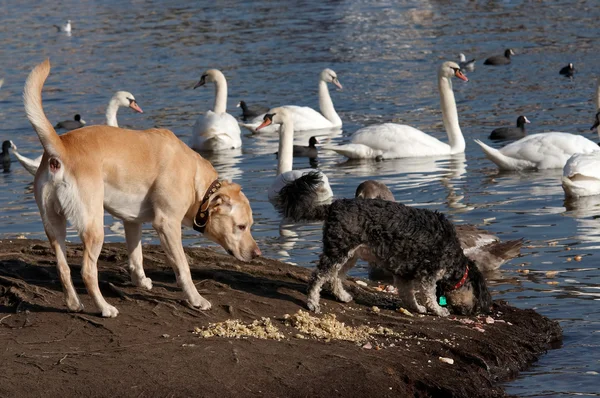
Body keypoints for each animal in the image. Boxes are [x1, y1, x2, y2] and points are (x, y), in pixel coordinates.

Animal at [24, 60, 260, 318]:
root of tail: (61, 148)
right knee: (87, 271)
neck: (196, 181)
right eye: (241, 226)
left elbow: (136, 256)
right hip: (93, 227)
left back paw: (74, 303)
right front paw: (196, 299)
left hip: (54, 226)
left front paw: (141, 280)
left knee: (63, 268)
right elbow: (183, 268)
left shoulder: (132, 221)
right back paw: (105, 308)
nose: (257, 254)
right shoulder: (167, 224)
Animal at [276, 173, 492, 316]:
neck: (453, 257)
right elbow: (429, 294)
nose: (476, 312)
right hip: (338, 251)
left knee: (335, 276)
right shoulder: (429, 272)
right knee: (318, 277)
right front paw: (438, 310)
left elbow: (408, 294)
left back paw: (342, 296)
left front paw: (416, 308)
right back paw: (312, 303)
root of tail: (334, 206)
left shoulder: (404, 274)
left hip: (349, 255)